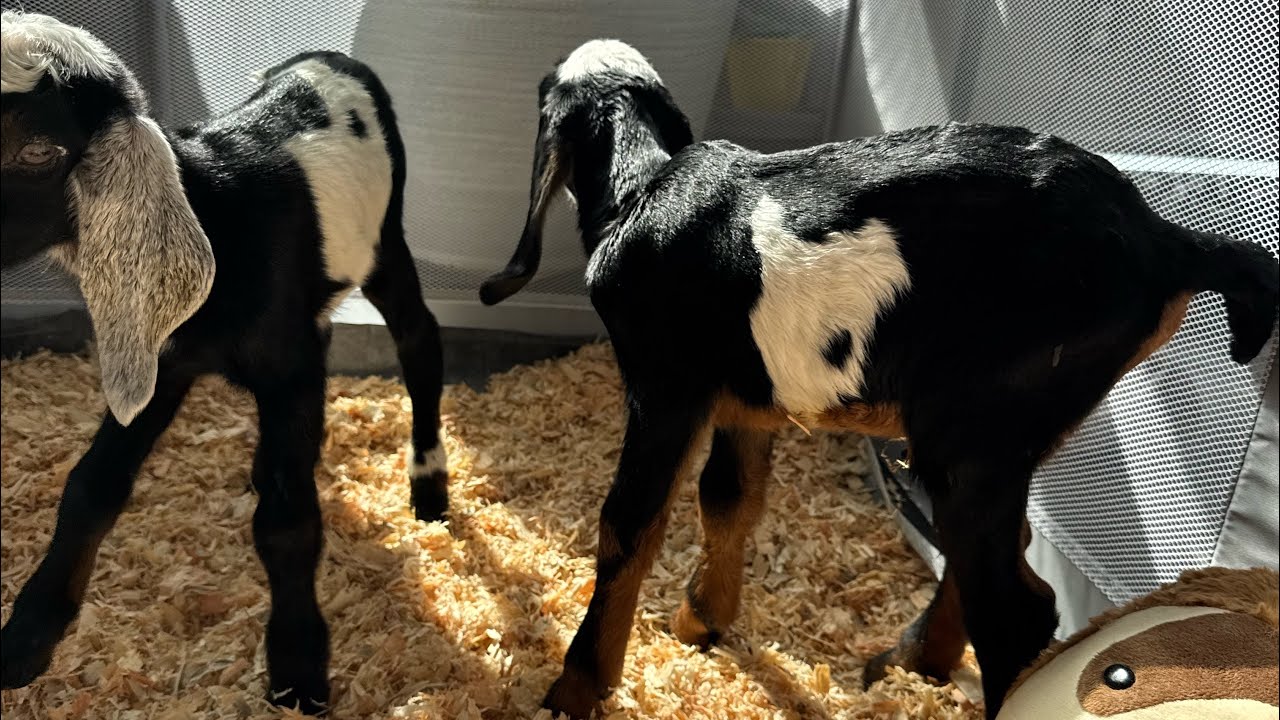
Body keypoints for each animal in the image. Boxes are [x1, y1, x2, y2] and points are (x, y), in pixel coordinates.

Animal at [1, 12, 449, 713]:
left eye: (37, 151)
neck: (218, 211)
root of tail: (330, 55)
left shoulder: (287, 369)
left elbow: (288, 523)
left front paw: (298, 666)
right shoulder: (158, 353)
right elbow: (91, 485)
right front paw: (30, 630)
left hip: (385, 237)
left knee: (419, 340)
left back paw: (429, 482)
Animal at [480, 39, 1280, 719]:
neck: (644, 186)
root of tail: (1163, 242)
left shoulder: (665, 386)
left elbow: (629, 525)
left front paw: (573, 690)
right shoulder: (748, 398)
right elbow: (729, 500)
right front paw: (701, 622)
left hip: (976, 421)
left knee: (1016, 608)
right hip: (1008, 431)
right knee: (1000, 547)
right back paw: (913, 660)